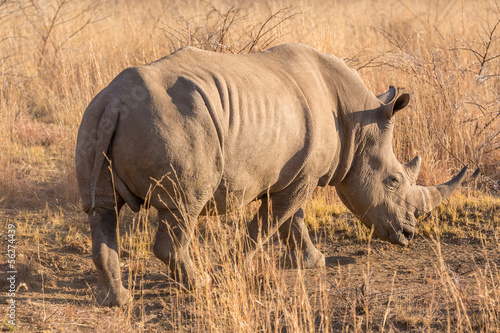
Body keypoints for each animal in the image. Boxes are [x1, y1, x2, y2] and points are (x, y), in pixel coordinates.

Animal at [75, 42, 468, 304]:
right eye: (394, 180)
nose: (408, 234)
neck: (358, 123)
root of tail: (116, 100)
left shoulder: (295, 173)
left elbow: (293, 220)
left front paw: (313, 262)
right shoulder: (300, 177)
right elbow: (270, 223)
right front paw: (228, 271)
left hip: (94, 115)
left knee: (102, 210)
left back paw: (118, 300)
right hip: (173, 124)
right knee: (184, 208)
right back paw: (200, 284)